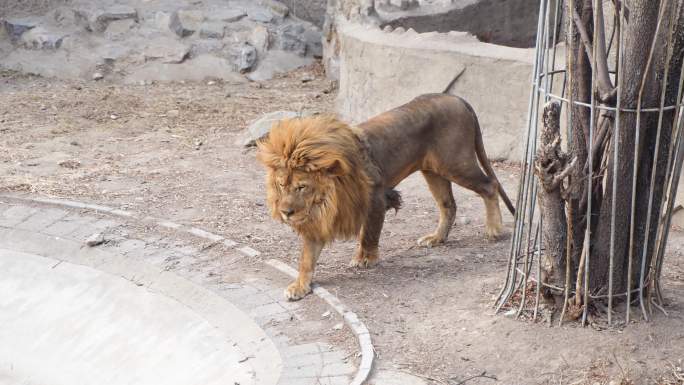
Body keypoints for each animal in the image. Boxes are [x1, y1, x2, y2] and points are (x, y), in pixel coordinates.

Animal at [256, 93, 512, 300]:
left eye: (301, 187)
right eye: (281, 185)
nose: (286, 213)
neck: (327, 199)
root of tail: (457, 98)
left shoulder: (376, 199)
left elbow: (369, 234)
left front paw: (365, 259)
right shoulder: (317, 220)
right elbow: (306, 257)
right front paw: (300, 286)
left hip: (456, 163)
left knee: (490, 185)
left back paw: (494, 230)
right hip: (433, 171)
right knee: (448, 205)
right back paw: (436, 238)